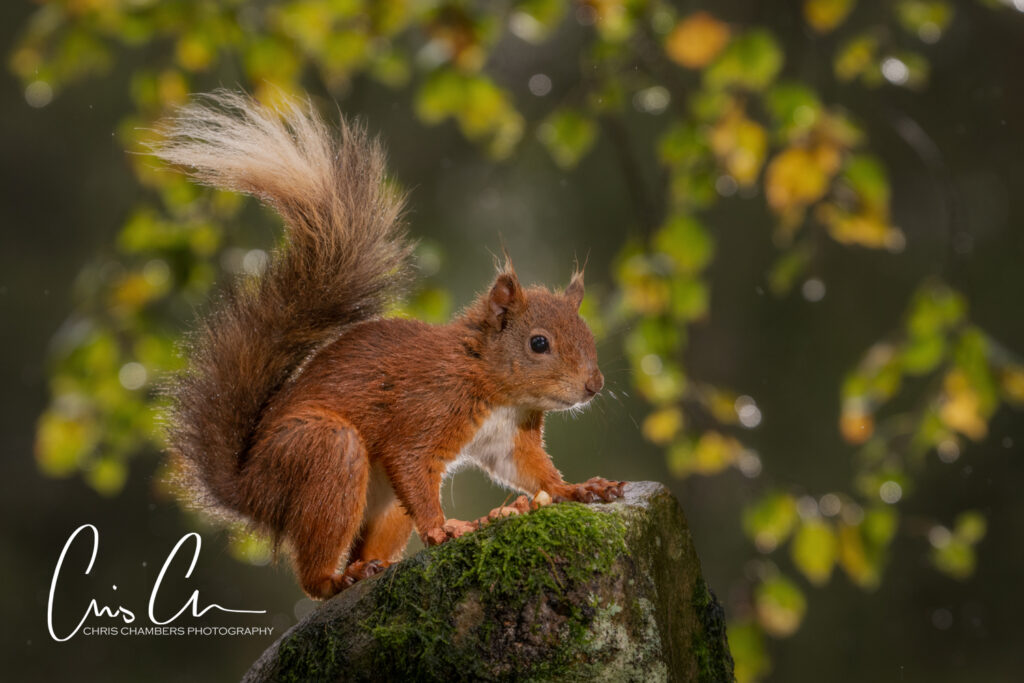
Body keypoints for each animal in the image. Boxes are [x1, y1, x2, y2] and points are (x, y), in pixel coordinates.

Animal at [154, 91, 625, 600]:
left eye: (588, 335)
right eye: (539, 343)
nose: (594, 386)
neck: (490, 381)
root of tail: (249, 490)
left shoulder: (508, 438)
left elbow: (532, 471)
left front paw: (579, 489)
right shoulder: (424, 414)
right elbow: (413, 464)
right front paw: (444, 530)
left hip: (382, 505)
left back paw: (372, 566)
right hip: (323, 454)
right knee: (314, 577)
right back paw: (339, 577)